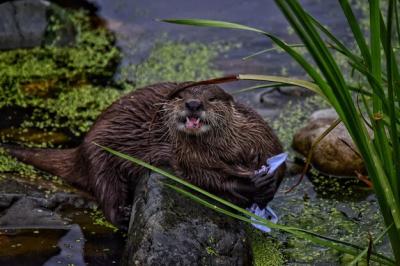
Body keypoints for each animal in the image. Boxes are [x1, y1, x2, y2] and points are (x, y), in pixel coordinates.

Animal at [3, 81, 284, 227]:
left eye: (212, 98)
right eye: (180, 97)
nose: (193, 104)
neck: (229, 149)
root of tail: (81, 146)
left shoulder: (264, 136)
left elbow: (281, 166)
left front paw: (267, 183)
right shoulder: (187, 158)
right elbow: (209, 180)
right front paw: (251, 185)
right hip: (99, 155)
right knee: (107, 191)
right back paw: (123, 215)